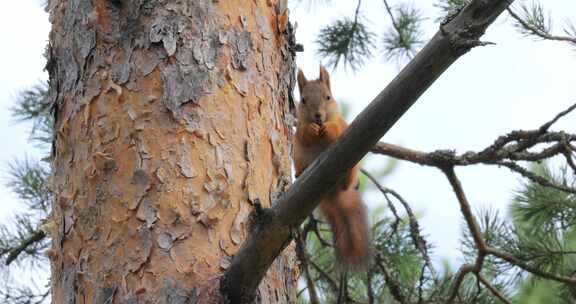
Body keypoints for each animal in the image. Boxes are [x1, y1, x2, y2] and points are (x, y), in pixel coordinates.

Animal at [294, 65, 372, 268]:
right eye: (303, 100)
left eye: (328, 97)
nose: (318, 115)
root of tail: (333, 195)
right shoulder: (298, 133)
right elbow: (303, 134)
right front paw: (311, 129)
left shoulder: (342, 125)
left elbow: (336, 130)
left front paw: (328, 128)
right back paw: (300, 173)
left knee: (348, 182)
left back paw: (347, 179)